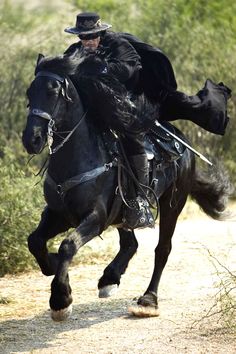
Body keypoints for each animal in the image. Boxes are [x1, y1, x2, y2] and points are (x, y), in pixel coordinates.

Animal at [22, 52, 230, 320]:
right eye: (30, 92)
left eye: (53, 91)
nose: (32, 139)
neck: (77, 159)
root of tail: (182, 143)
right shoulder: (59, 214)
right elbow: (35, 241)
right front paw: (54, 265)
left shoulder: (95, 217)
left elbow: (68, 246)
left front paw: (60, 300)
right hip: (123, 214)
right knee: (130, 243)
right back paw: (109, 278)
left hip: (173, 203)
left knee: (162, 249)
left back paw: (148, 300)